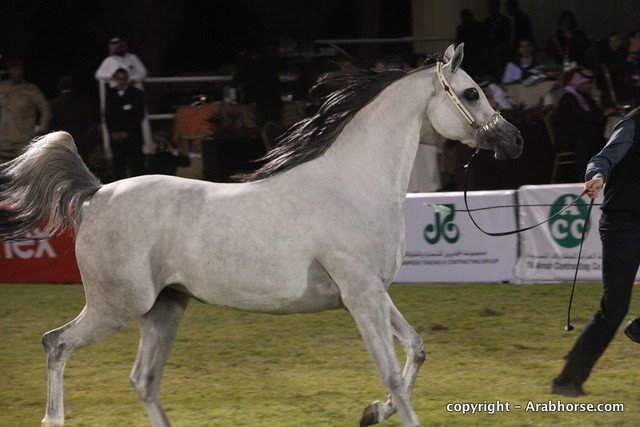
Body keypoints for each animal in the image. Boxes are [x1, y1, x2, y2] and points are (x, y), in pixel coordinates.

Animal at [0, 44, 522, 427]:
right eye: (471, 94)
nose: (514, 140)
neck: (355, 184)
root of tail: (98, 192)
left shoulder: (373, 292)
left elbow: (415, 349)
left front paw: (372, 413)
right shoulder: (361, 296)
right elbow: (392, 372)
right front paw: (383, 408)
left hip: (164, 308)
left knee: (143, 379)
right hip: (117, 305)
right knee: (56, 344)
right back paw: (53, 417)